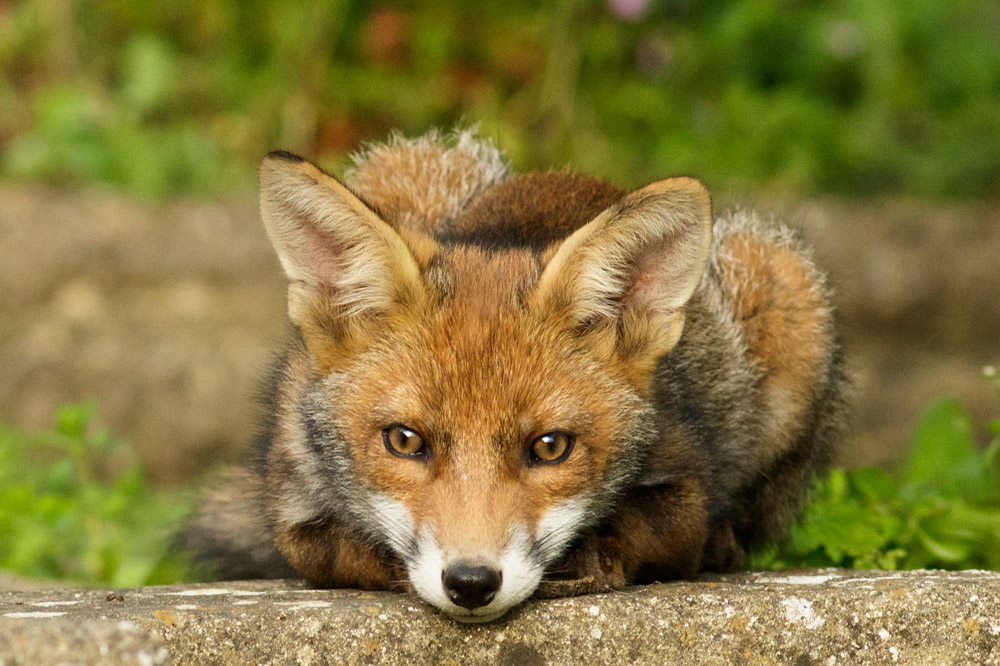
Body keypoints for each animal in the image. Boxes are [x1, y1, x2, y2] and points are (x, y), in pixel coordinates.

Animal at [178, 128, 847, 623]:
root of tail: (570, 174)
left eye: (550, 447)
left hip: (782, 280)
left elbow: (647, 528)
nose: (471, 582)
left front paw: (587, 558)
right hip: (411, 160)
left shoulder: (684, 482)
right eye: (404, 440)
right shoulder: (294, 499)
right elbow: (338, 554)